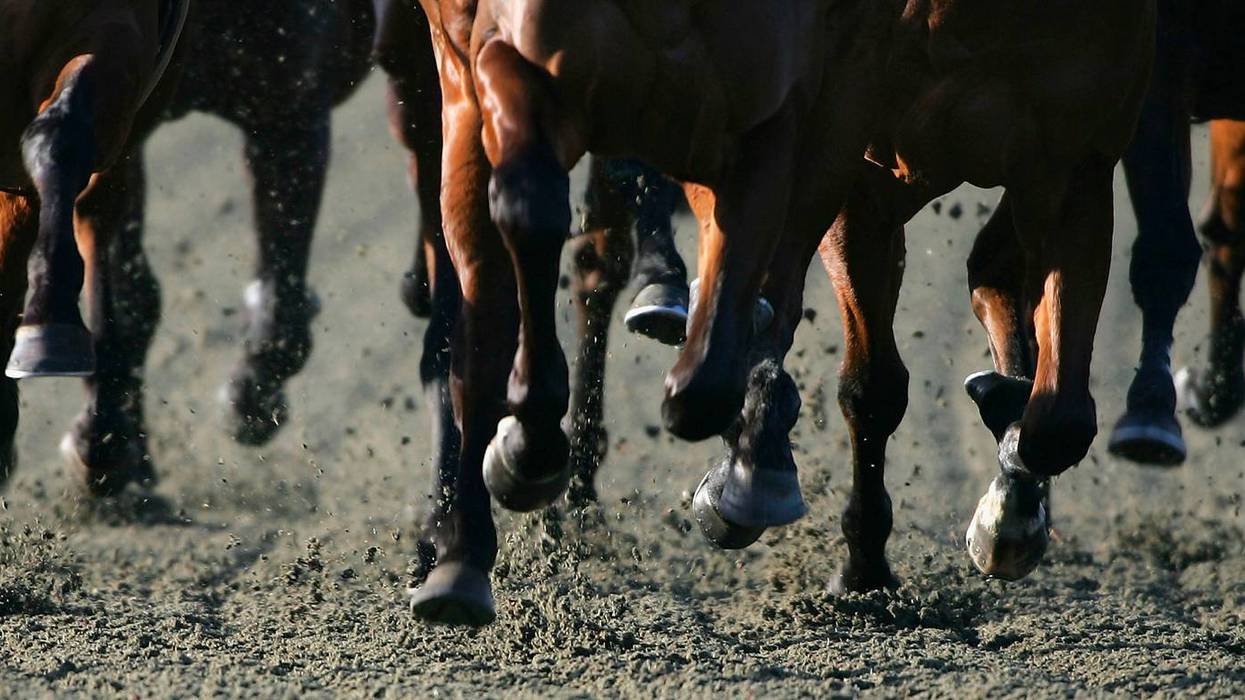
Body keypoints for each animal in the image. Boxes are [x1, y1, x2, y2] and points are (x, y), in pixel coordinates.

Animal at [409, 0, 1153, 624]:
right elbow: (869, 384)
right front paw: (851, 557)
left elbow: (1058, 420)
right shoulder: (859, 161)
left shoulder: (1075, 159)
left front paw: (1006, 502)